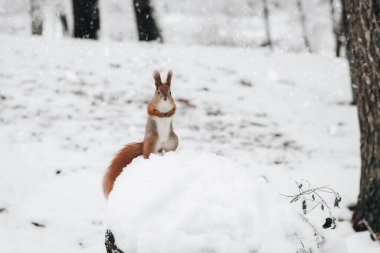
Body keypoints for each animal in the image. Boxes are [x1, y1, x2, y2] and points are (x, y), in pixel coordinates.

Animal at [101, 70, 178, 198]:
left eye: (170, 92)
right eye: (158, 92)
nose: (165, 98)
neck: (163, 106)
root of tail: (144, 144)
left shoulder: (173, 104)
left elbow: (175, 109)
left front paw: (169, 113)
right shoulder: (150, 105)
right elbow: (151, 111)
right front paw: (161, 114)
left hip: (174, 141)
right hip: (152, 140)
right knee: (146, 154)